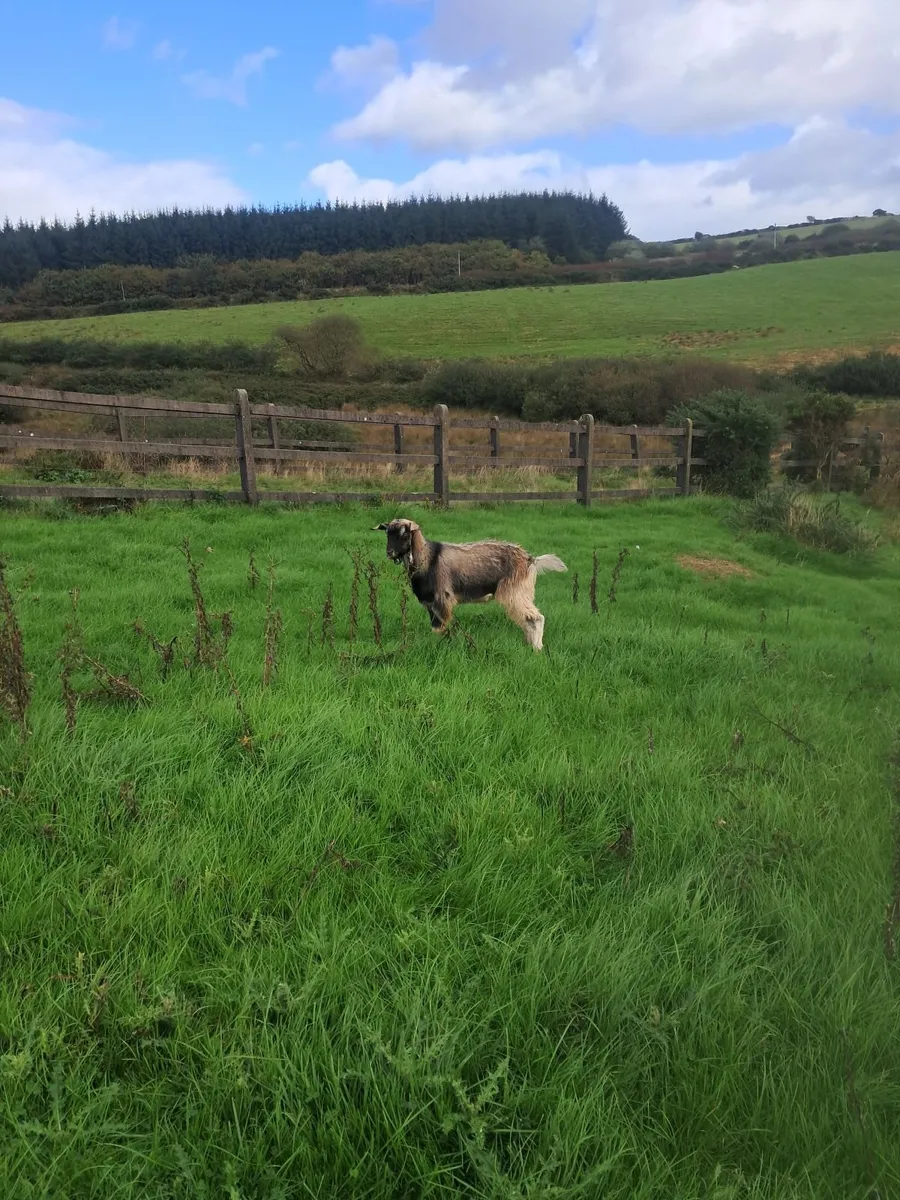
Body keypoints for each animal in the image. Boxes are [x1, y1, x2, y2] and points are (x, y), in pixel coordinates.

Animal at [375, 518, 566, 650]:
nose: (389, 552)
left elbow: (439, 628)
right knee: (527, 620)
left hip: (515, 592)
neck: (428, 558)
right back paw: (528, 644)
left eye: (405, 533)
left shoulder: (442, 599)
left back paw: (537, 648)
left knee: (536, 618)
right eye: (387, 533)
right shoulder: (431, 604)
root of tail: (531, 560)